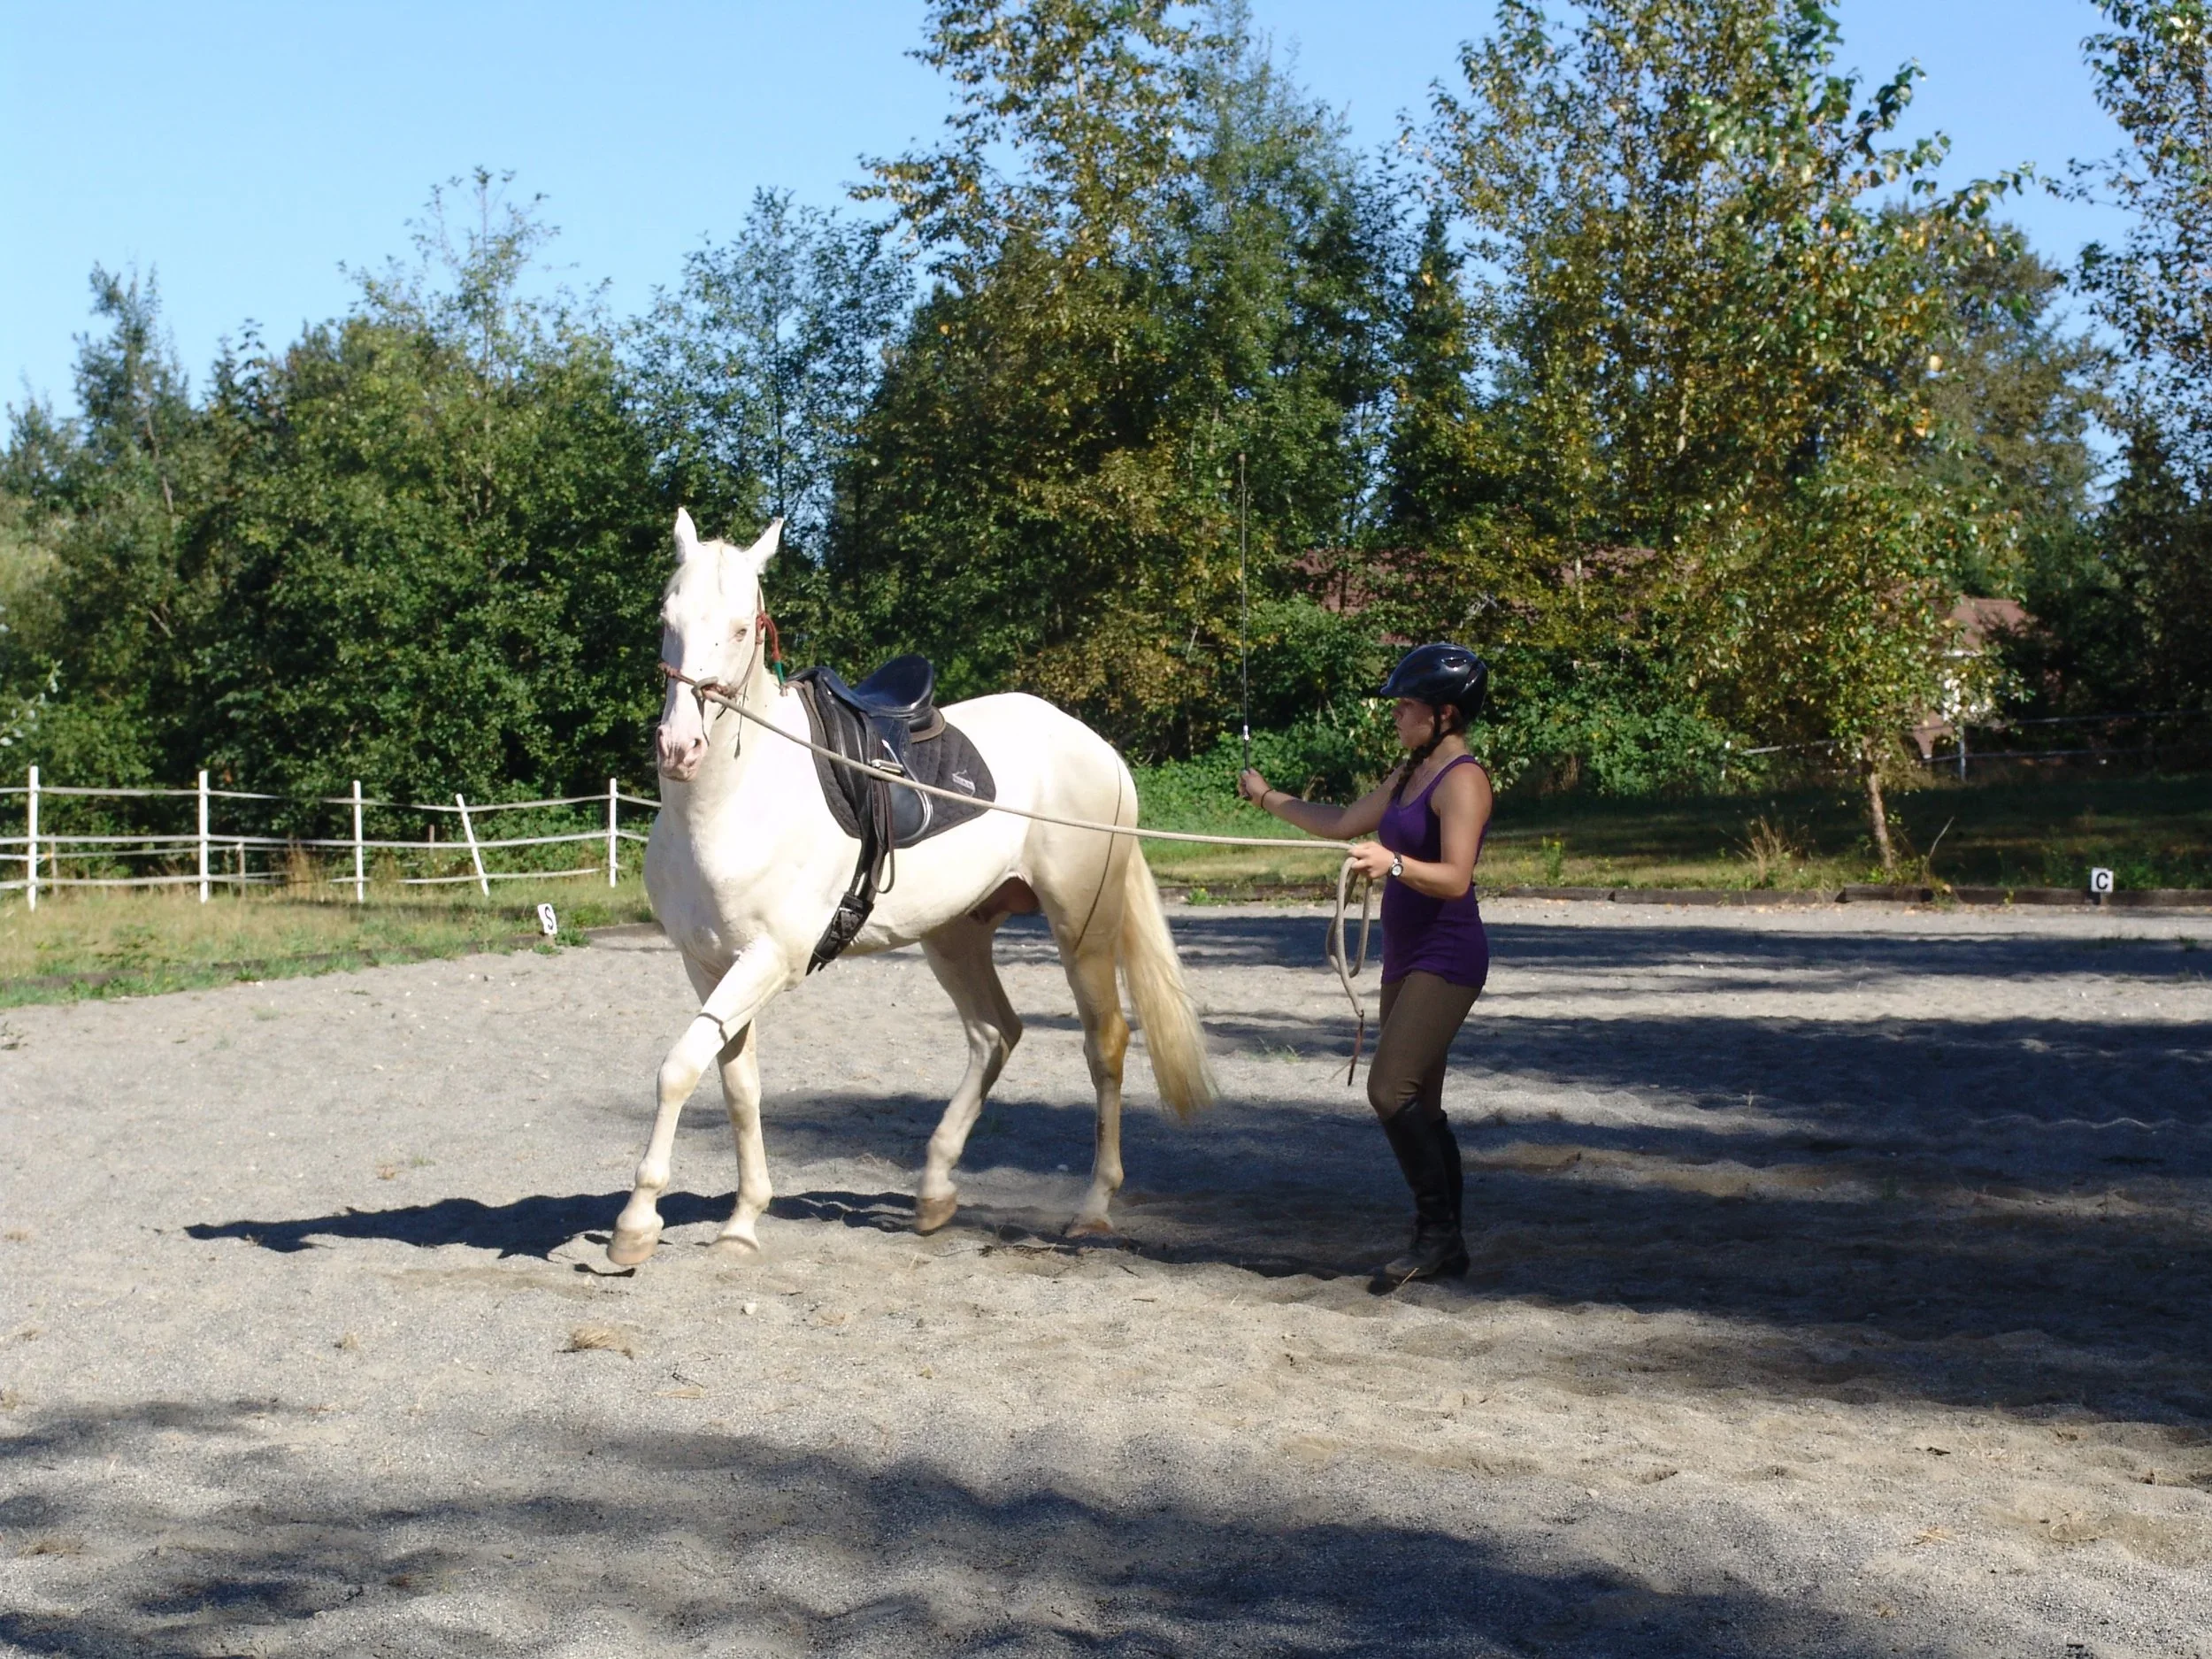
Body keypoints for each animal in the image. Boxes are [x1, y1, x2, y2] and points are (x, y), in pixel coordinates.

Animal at [609, 509, 1215, 1267]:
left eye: (744, 626)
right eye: (668, 618)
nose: (680, 746)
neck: (731, 802)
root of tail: (1095, 745)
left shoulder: (770, 958)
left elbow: (678, 1068)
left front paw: (636, 1224)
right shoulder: (709, 963)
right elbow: (737, 1085)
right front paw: (743, 1221)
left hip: (1084, 925)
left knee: (1104, 1043)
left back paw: (1093, 1207)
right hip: (955, 935)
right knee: (995, 1034)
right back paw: (934, 1189)